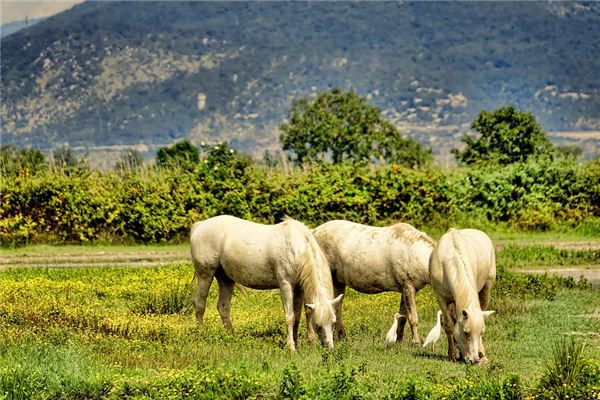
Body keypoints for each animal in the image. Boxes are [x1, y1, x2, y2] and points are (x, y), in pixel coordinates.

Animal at [190, 216, 340, 350]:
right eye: (318, 325)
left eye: (333, 323)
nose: (329, 348)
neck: (297, 249)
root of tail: (200, 225)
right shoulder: (286, 285)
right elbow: (290, 316)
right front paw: (291, 346)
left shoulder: (300, 288)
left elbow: (300, 315)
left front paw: (303, 342)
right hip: (205, 275)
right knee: (199, 304)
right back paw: (202, 334)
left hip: (226, 279)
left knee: (223, 307)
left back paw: (231, 337)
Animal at [432, 228, 496, 362]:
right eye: (466, 333)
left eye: (481, 333)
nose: (475, 359)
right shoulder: (441, 298)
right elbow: (449, 325)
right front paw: (452, 355)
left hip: (487, 286)